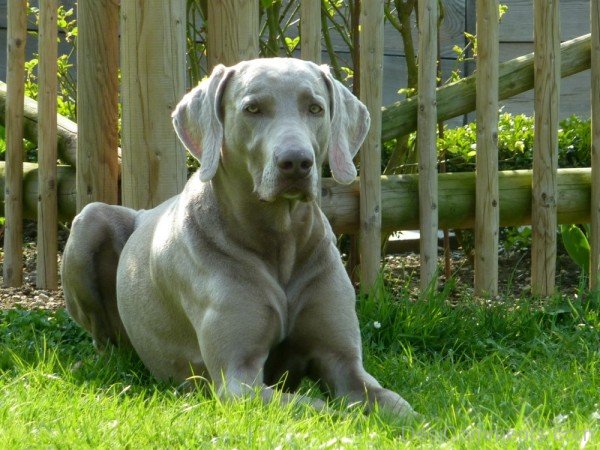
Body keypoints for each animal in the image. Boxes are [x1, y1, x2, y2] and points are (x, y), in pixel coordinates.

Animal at [63, 58, 414, 416]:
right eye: (252, 108)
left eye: (315, 108)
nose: (297, 162)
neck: (279, 239)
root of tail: (143, 212)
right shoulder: (239, 379)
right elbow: (319, 409)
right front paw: (347, 416)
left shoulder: (345, 363)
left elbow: (400, 408)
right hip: (90, 219)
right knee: (106, 344)